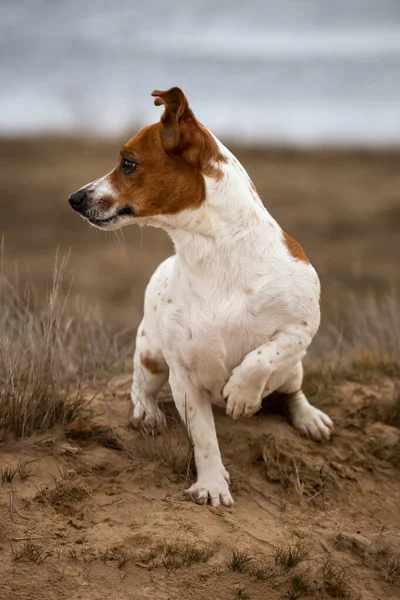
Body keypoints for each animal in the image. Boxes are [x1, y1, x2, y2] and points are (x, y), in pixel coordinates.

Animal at [69, 88, 334, 506]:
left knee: (292, 392)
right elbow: (205, 440)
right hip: (152, 355)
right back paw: (147, 414)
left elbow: (262, 357)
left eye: (128, 164)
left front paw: (241, 393)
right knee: (139, 385)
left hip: (294, 369)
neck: (211, 252)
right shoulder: (185, 379)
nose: (74, 198)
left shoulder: (302, 326)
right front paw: (212, 485)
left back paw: (309, 418)